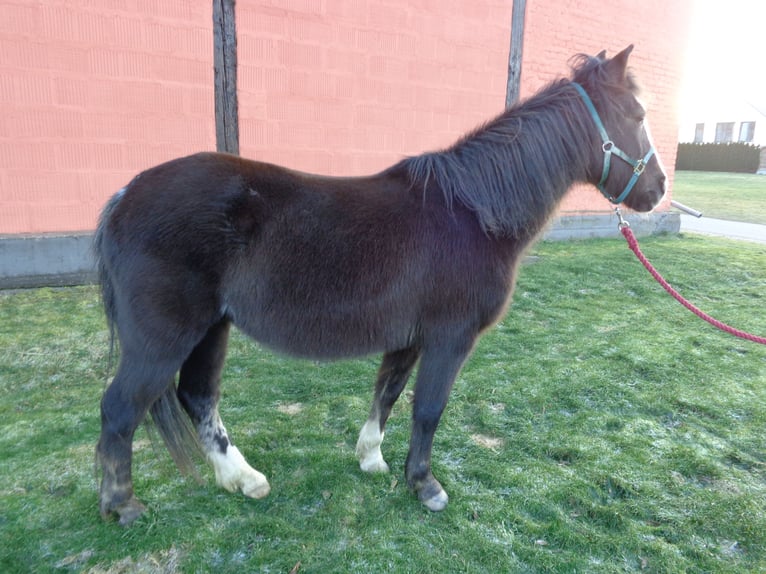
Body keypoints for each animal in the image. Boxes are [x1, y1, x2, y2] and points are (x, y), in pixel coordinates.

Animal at [93, 46, 664, 528]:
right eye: (637, 116)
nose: (658, 190)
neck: (471, 213)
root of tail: (124, 196)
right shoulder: (450, 338)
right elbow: (428, 409)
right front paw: (425, 485)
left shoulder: (408, 338)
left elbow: (386, 395)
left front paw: (371, 459)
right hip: (164, 338)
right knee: (121, 408)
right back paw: (124, 506)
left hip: (211, 329)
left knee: (198, 396)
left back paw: (243, 479)